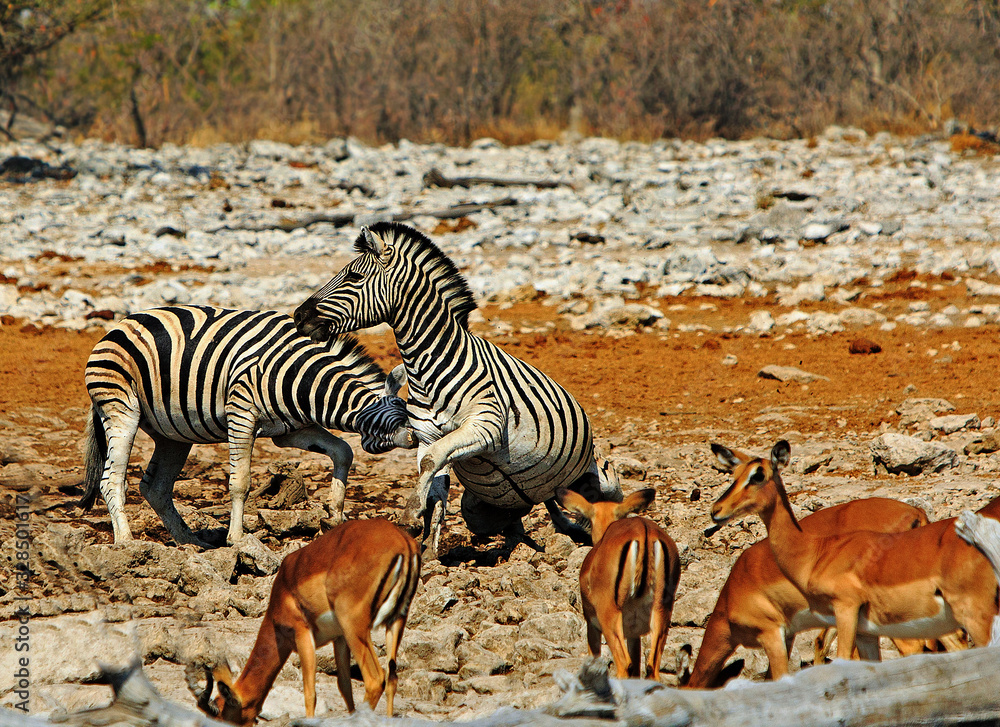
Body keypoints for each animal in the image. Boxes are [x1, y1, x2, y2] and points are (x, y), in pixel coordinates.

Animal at [82, 305, 417, 547]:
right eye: (393, 418)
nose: (415, 437)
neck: (300, 377)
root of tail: (120, 325)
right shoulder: (241, 413)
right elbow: (240, 482)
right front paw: (237, 538)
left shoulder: (291, 431)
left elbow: (343, 451)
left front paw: (334, 515)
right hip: (121, 409)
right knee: (112, 479)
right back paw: (127, 542)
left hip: (172, 433)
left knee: (156, 488)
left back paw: (191, 542)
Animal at [294, 222, 621, 556]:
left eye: (354, 277)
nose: (298, 316)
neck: (426, 367)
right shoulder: (428, 436)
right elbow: (434, 480)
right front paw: (428, 549)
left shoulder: (485, 427)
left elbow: (432, 461)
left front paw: (410, 516)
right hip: (483, 509)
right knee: (520, 523)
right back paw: (519, 546)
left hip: (602, 477)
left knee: (608, 505)